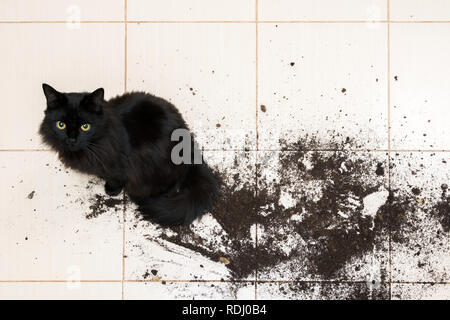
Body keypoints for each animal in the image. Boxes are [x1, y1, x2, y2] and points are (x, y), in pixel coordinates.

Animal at [39, 84, 219, 226]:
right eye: (61, 125)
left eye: (85, 126)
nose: (71, 140)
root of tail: (190, 145)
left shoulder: (119, 164)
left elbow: (116, 178)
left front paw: (111, 190)